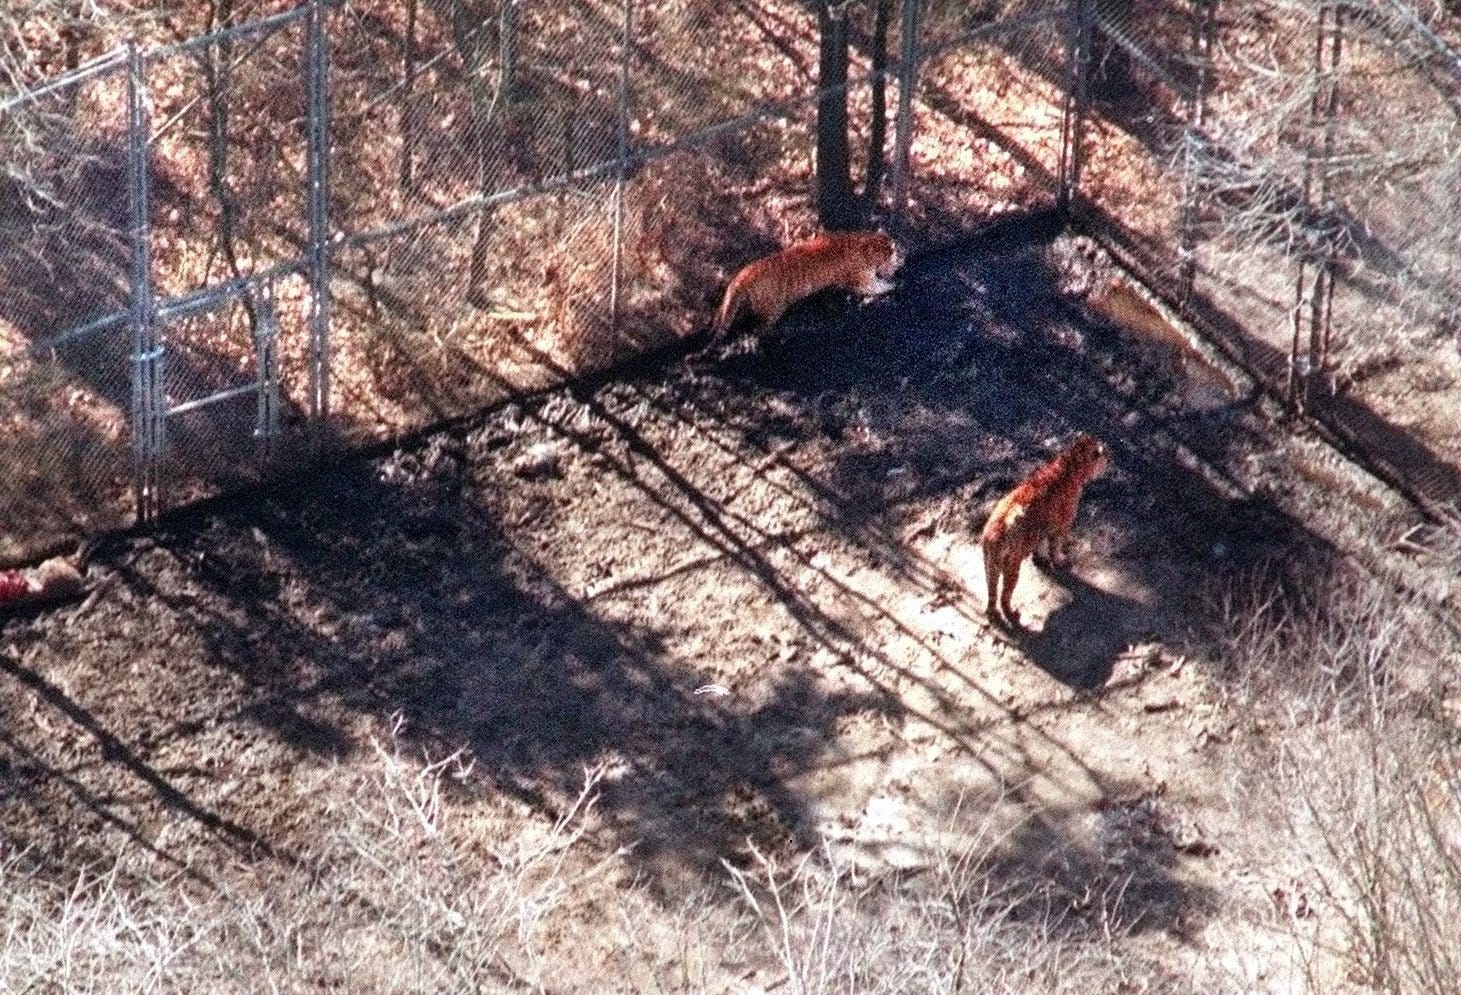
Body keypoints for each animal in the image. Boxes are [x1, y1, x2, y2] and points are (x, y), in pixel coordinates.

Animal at [710, 229, 899, 341]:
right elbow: (877, 286)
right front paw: (893, 285)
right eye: (890, 252)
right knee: (759, 329)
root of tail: (744, 274)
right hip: (772, 309)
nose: (898, 255)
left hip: (728, 304)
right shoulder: (862, 280)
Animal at [981, 429, 1104, 625]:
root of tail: (994, 531)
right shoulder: (1061, 525)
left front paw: (1040, 559)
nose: (1110, 458)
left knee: (991, 593)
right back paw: (1013, 615)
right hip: (1011, 566)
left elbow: (1039, 545)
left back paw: (993, 614)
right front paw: (1059, 561)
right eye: (1103, 454)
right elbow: (1055, 547)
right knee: (1004, 596)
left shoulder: (1042, 527)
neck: (1068, 465)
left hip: (990, 567)